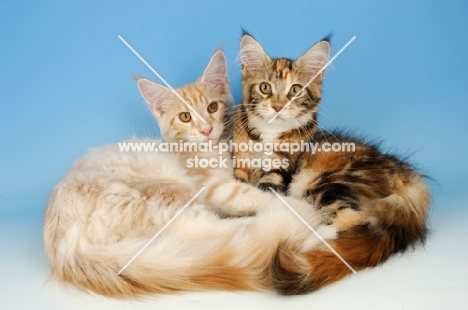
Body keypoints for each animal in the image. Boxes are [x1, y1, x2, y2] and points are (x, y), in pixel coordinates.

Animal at [42, 49, 330, 296]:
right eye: (185, 117)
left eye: (212, 108)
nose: (206, 129)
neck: (209, 149)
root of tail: (65, 248)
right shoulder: (212, 185)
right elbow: (251, 195)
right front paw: (287, 201)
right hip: (166, 196)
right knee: (214, 231)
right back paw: (310, 227)